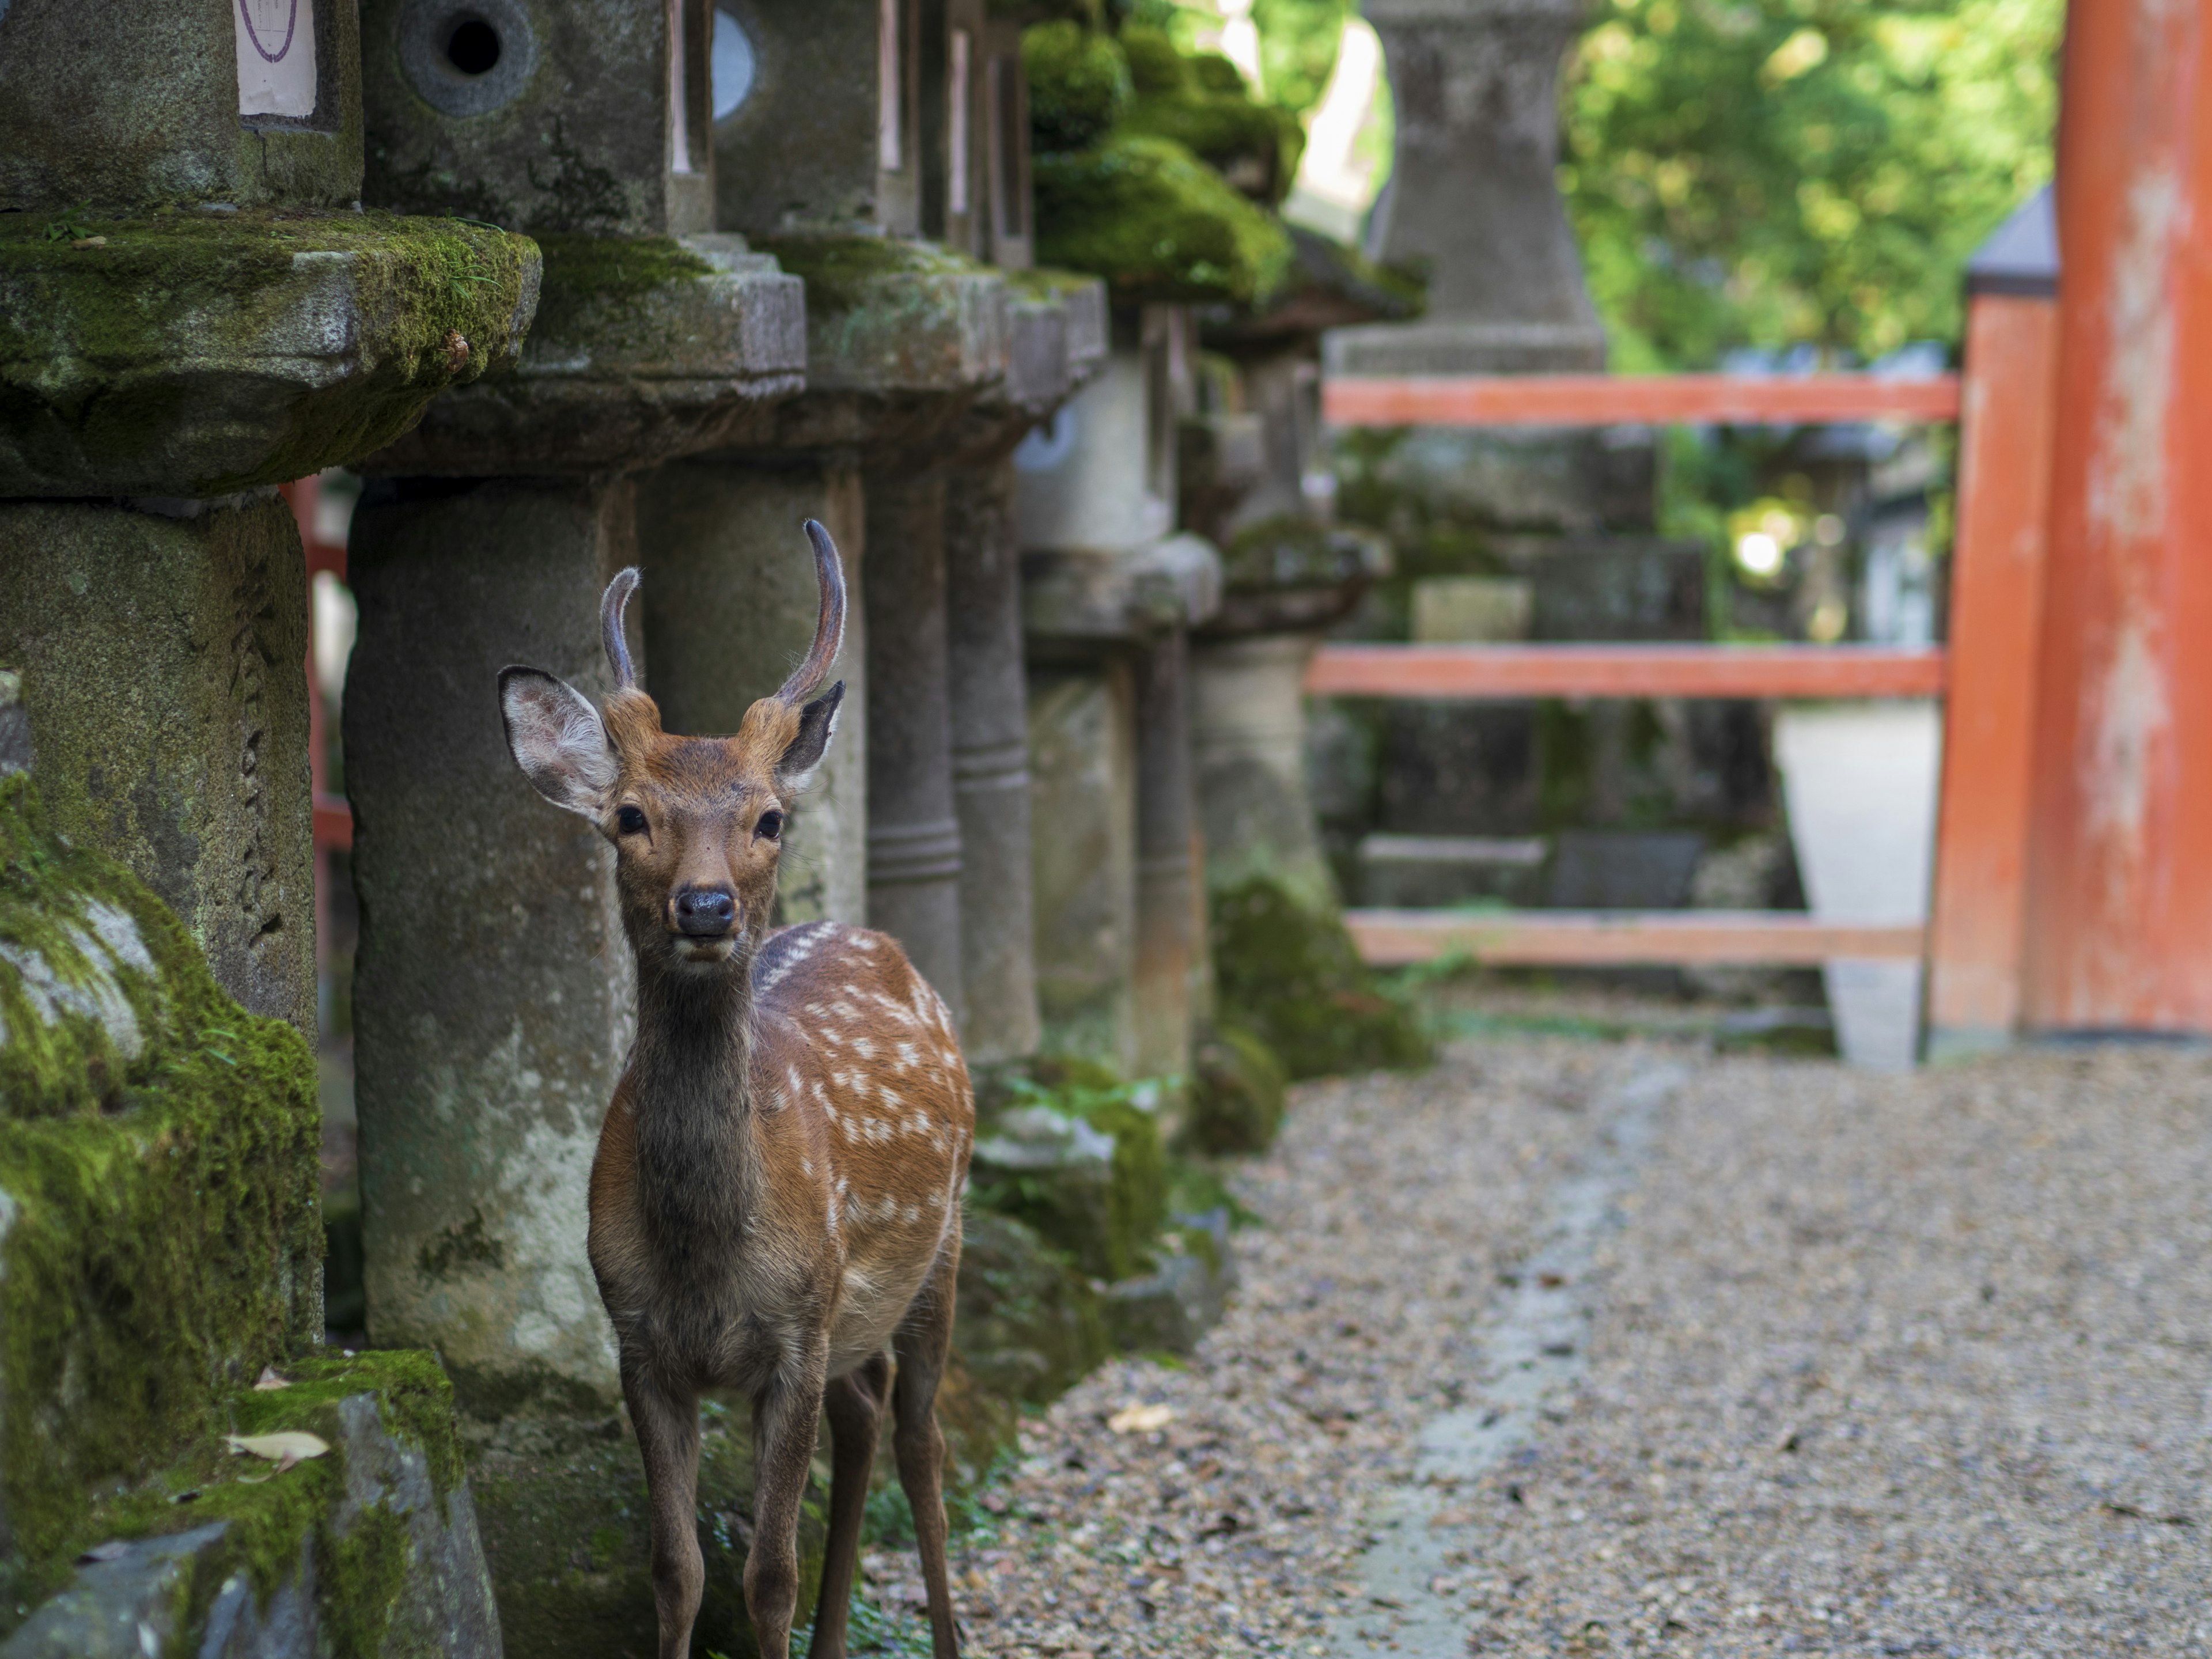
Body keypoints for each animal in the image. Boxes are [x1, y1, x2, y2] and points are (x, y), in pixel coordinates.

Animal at [502, 526, 978, 1659]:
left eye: (768, 819)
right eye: (630, 816)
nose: (707, 905)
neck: (708, 1251)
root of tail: (881, 939)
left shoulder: (795, 1337)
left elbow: (768, 1576)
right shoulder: (637, 1341)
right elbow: (676, 1571)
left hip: (941, 1244)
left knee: (923, 1438)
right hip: (858, 1307)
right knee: (869, 1411)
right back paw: (838, 1640)